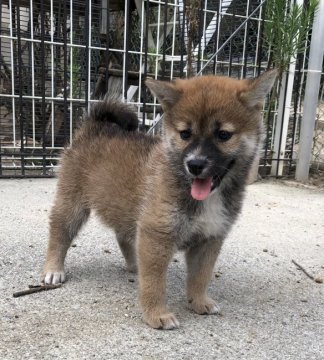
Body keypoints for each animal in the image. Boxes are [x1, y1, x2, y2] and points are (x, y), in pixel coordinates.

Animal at [42, 70, 276, 330]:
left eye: (223, 135)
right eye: (185, 134)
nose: (195, 165)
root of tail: (95, 126)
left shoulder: (209, 239)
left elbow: (200, 277)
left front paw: (199, 302)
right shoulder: (157, 236)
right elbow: (154, 283)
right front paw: (157, 314)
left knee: (124, 236)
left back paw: (134, 265)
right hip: (72, 203)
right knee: (59, 233)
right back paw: (53, 269)